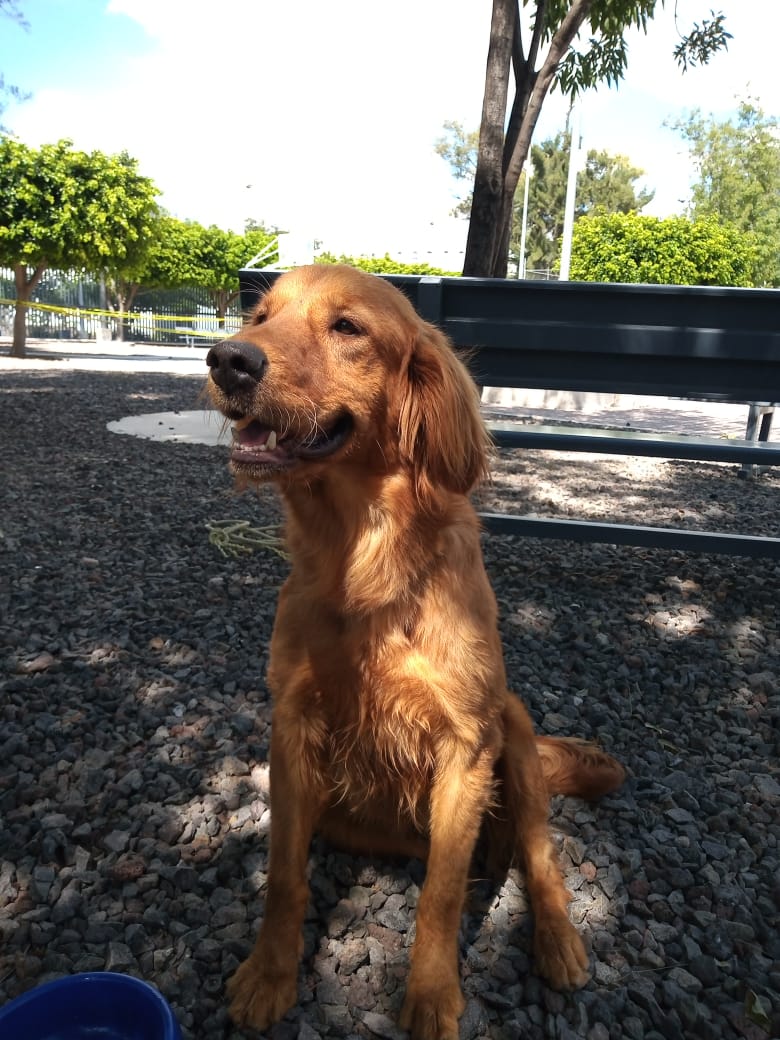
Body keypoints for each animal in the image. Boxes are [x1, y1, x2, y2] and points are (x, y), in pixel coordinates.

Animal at [204, 264, 628, 1035]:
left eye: (347, 327)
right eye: (259, 316)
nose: (229, 361)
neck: (365, 560)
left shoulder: (466, 744)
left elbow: (441, 894)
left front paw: (431, 996)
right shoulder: (293, 726)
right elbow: (283, 876)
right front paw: (270, 975)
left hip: (514, 727)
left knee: (539, 856)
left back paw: (558, 942)